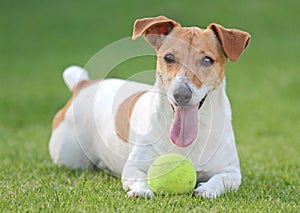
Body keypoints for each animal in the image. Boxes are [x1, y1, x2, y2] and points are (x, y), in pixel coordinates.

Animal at [49, 15, 251, 198]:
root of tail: (84, 84)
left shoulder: (230, 171)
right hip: (69, 157)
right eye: (169, 58)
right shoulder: (134, 166)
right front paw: (141, 190)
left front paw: (207, 189)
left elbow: (221, 179)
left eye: (207, 60)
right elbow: (138, 176)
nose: (181, 94)